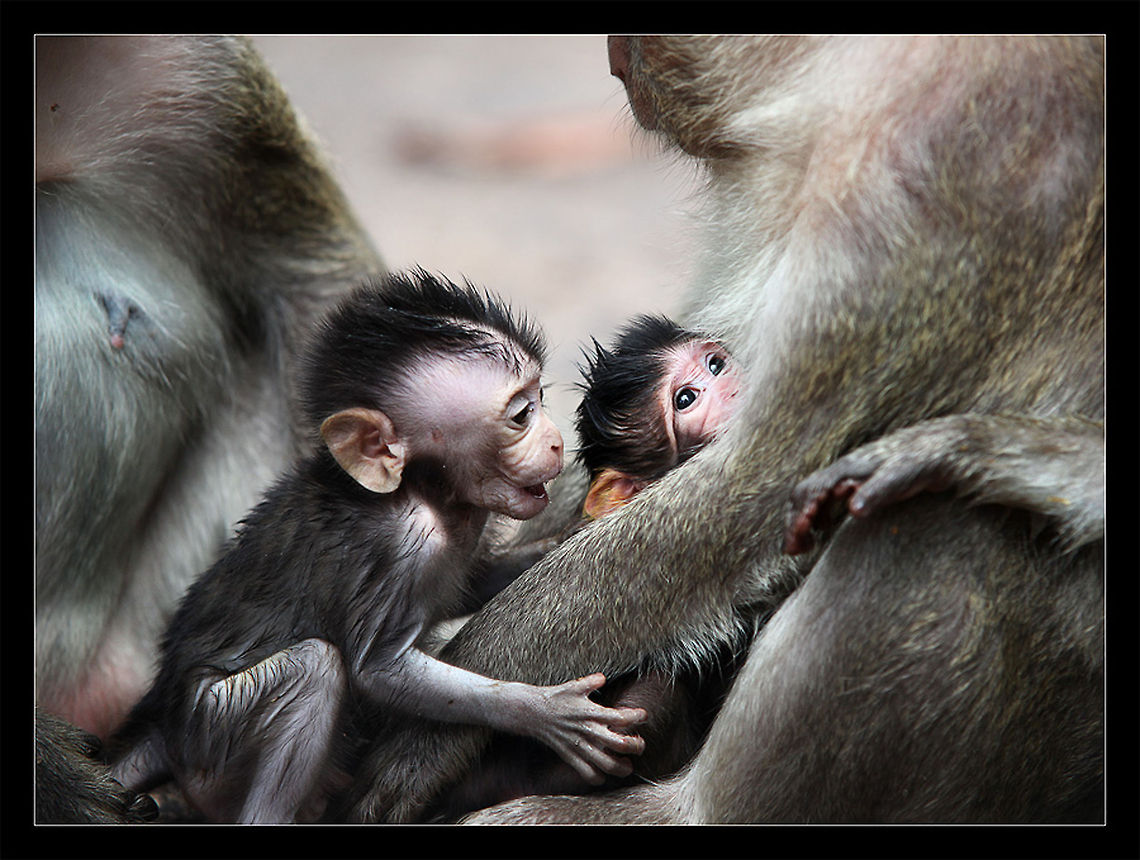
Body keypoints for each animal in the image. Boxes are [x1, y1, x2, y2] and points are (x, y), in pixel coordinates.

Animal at [107, 271, 648, 824]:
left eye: (540, 396)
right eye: (522, 415)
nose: (557, 441)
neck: (423, 492)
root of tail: (166, 728)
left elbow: (474, 580)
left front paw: (564, 540)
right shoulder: (406, 546)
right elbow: (379, 671)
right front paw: (543, 711)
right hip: (212, 730)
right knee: (315, 671)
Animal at [340, 35, 1104, 825]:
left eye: (712, 371)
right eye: (687, 392)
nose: (615, 53)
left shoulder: (928, 176)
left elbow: (753, 489)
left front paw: (435, 726)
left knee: (931, 522)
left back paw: (676, 810)